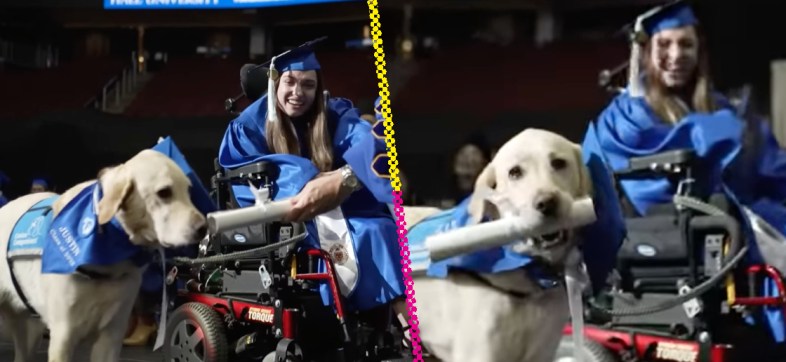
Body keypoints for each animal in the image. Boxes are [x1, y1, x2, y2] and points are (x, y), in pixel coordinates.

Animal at [0, 150, 205, 362]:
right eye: (164, 192)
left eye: (188, 192)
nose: (204, 228)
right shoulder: (63, 335)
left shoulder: (113, 333)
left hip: (29, 331)